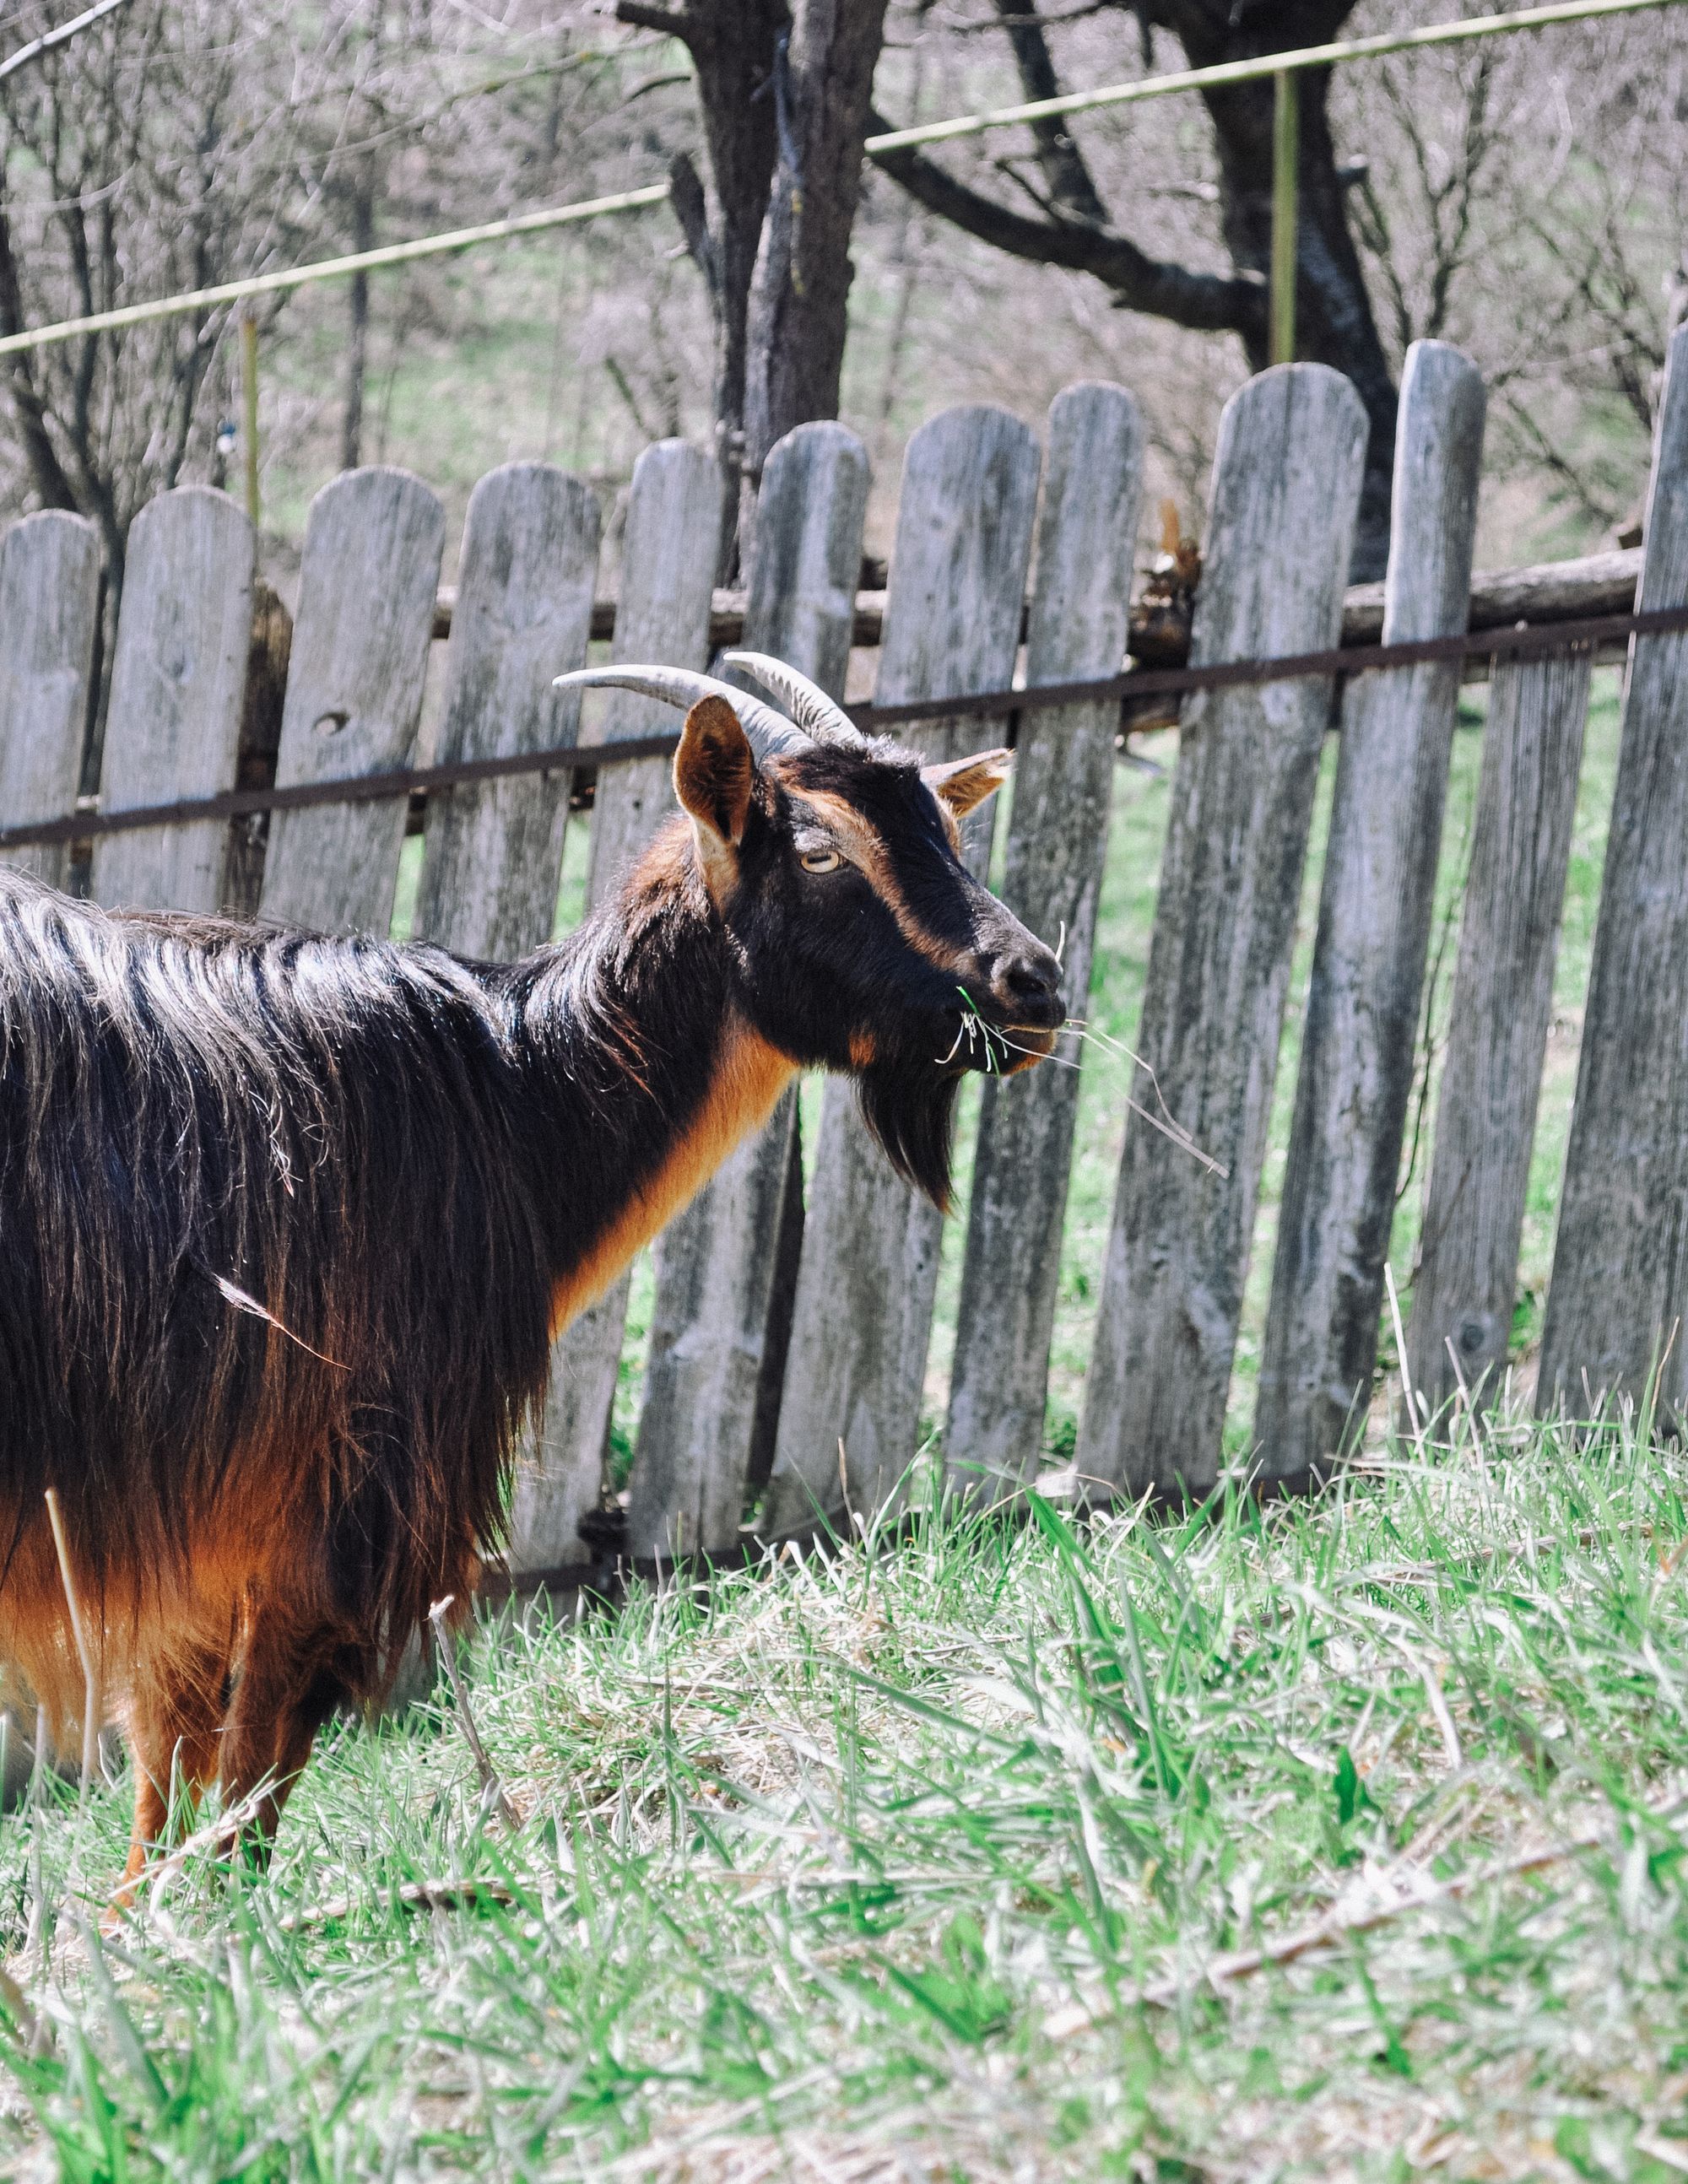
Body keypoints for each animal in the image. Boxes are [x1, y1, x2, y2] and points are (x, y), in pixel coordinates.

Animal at [0, 654, 1062, 1887]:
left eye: (948, 826)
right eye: (817, 850)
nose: (1033, 985)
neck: (510, 1093)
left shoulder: (204, 1531)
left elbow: (171, 1758)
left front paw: (146, 1920)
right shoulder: (345, 1481)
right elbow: (257, 1752)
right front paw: (217, 1917)